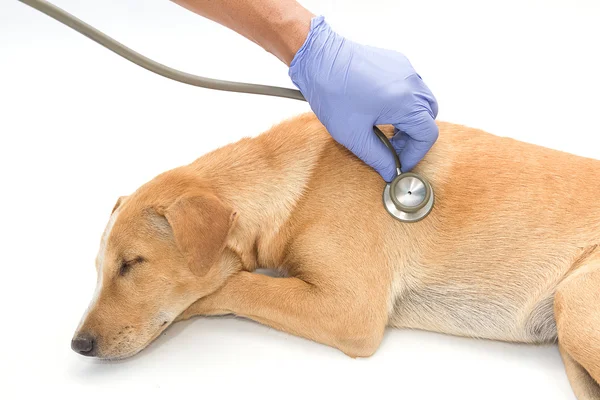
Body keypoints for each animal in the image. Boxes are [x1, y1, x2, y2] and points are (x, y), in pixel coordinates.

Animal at [72, 113, 600, 400]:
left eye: (132, 264)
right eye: (99, 269)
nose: (79, 345)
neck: (296, 184)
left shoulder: (350, 311)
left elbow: (236, 283)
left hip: (573, 302)